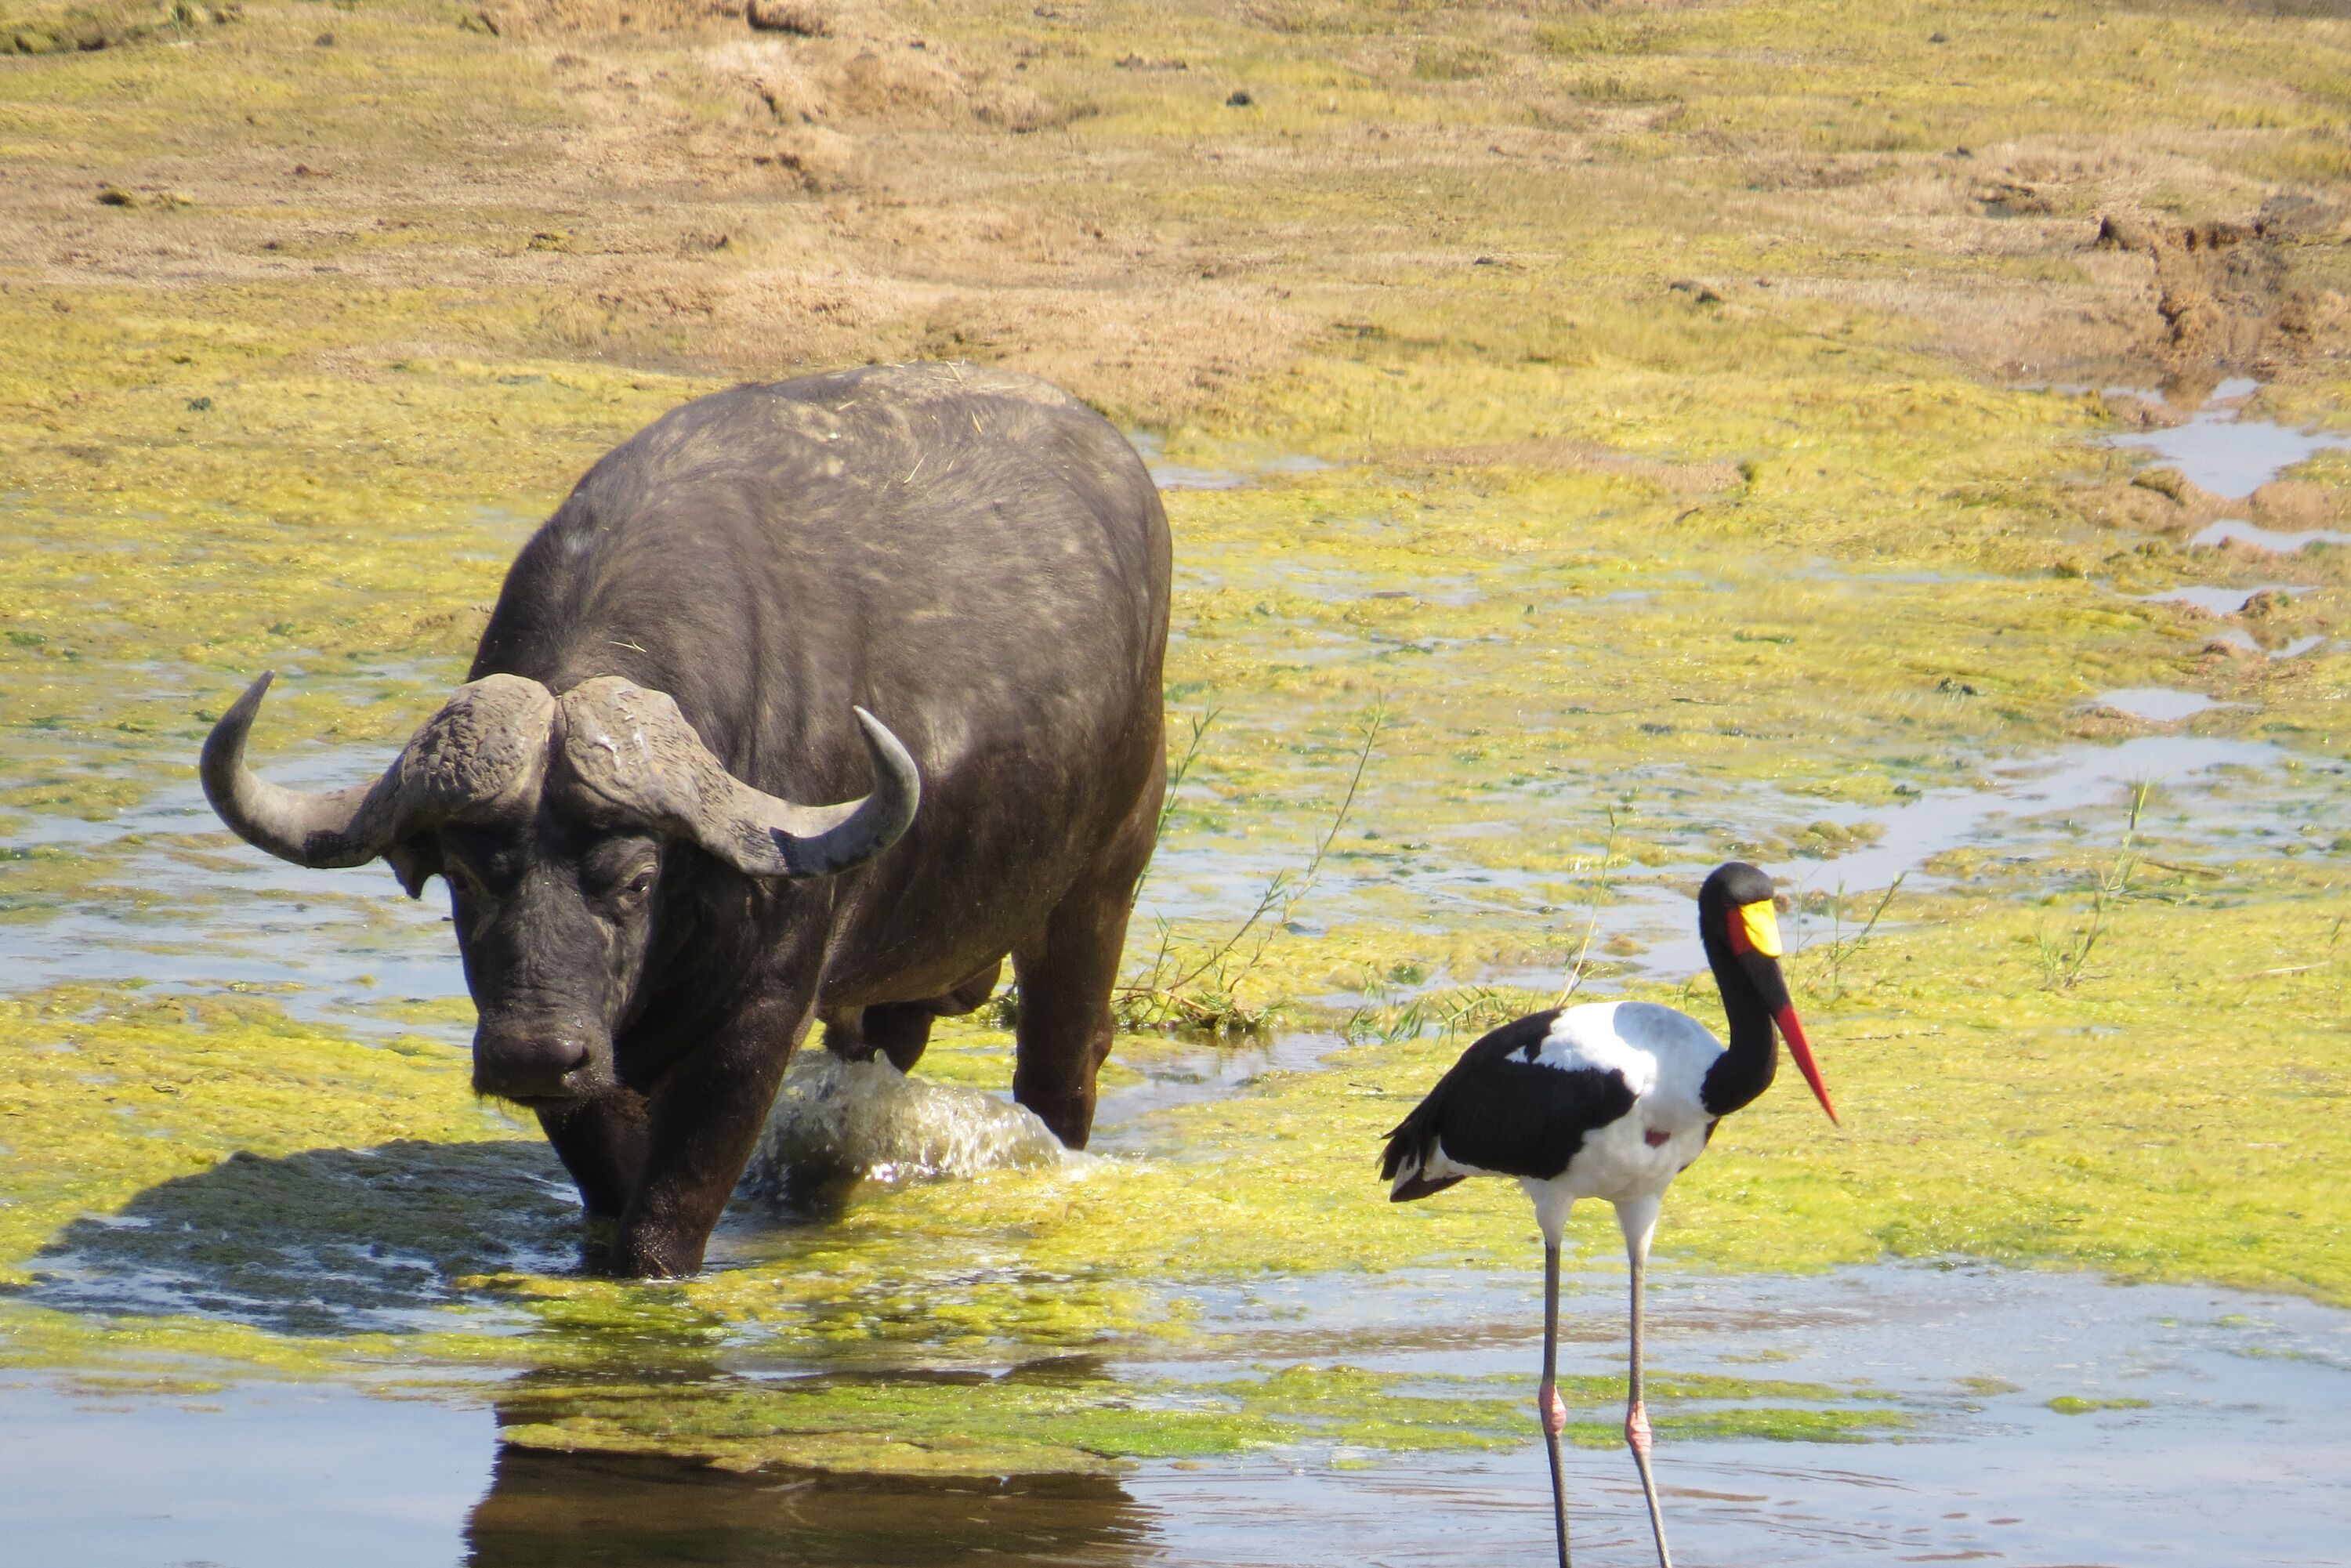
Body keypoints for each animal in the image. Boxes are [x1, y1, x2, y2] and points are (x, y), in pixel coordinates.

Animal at [200, 363, 1171, 1277]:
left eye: (637, 880)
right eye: (470, 880)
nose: (533, 1053)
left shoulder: (762, 1013)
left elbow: (673, 1205)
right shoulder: (597, 1059)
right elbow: (610, 1176)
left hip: (1097, 894)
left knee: (1062, 1069)